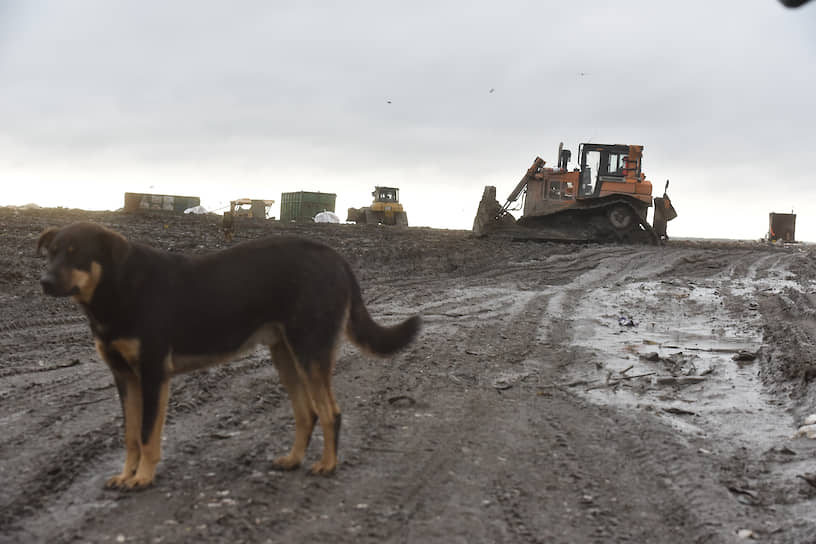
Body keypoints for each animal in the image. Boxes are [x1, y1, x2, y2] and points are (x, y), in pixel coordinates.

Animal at [38, 221, 420, 488]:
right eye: (52, 252)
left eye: (76, 252)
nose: (44, 281)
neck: (117, 288)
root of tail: (336, 257)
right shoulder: (124, 378)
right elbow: (130, 436)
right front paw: (126, 475)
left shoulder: (152, 374)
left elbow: (147, 435)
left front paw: (143, 478)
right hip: (285, 356)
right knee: (307, 413)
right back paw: (293, 459)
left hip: (310, 351)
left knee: (330, 412)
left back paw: (328, 465)